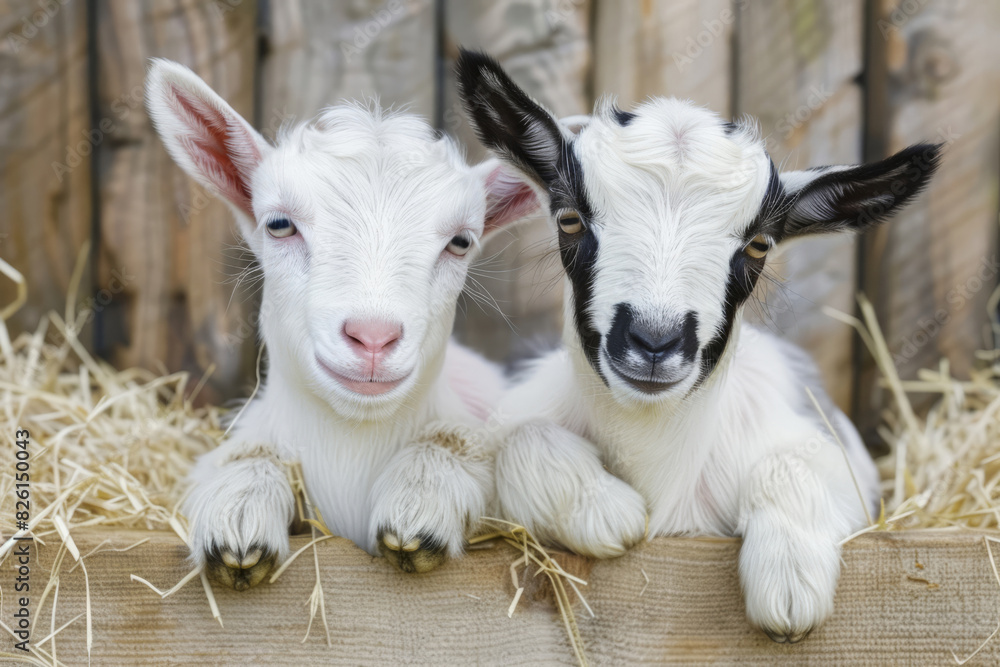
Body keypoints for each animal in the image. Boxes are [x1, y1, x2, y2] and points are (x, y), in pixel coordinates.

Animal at [145, 59, 538, 589]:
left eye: (461, 241)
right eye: (278, 224)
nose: (373, 337)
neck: (350, 446)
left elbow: (453, 441)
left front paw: (420, 503)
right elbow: (246, 456)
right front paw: (239, 515)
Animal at [456, 50, 941, 642]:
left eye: (759, 244)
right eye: (569, 219)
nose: (654, 340)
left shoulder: (837, 459)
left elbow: (791, 465)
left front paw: (789, 586)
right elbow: (520, 441)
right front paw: (607, 512)